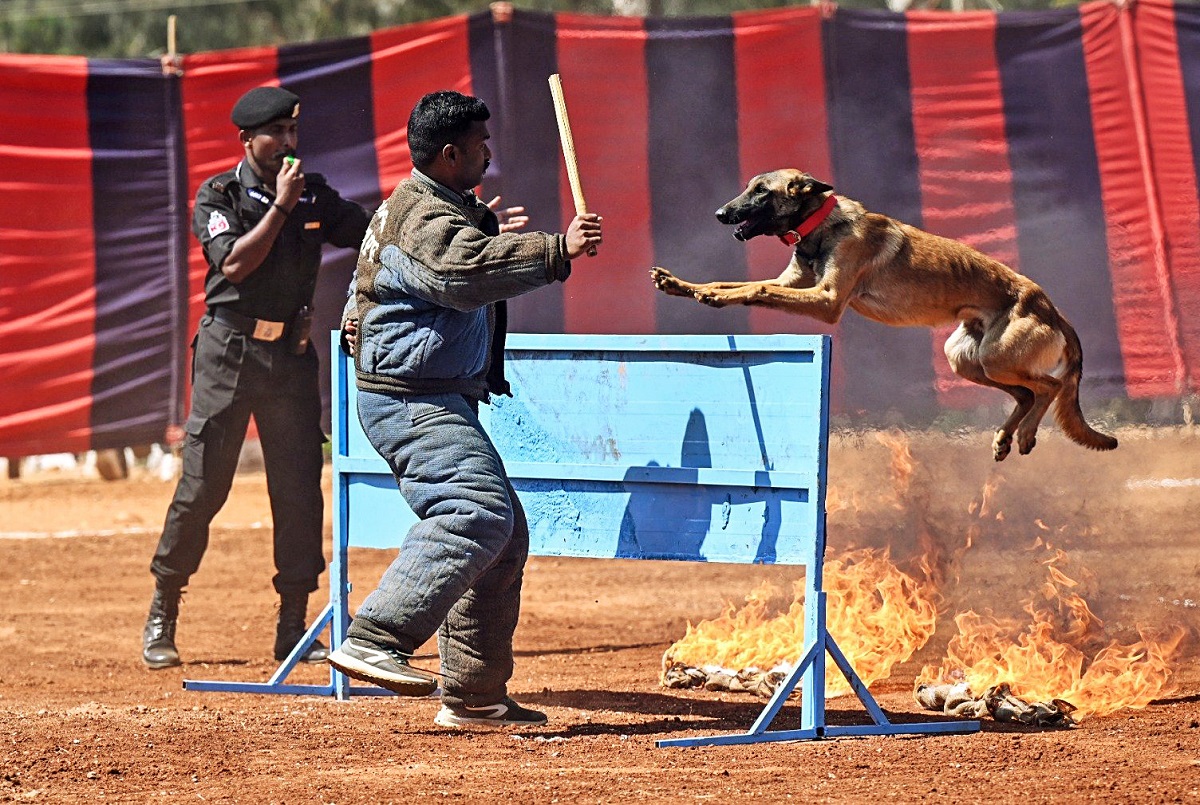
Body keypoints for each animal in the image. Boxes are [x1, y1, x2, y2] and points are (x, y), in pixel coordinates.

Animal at [652, 170, 1118, 460]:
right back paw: (1005, 437)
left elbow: (756, 288)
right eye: (749, 187)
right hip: (967, 359)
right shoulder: (795, 285)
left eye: (762, 191)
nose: (720, 214)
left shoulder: (825, 300)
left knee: (1049, 387)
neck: (821, 224)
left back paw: (1024, 435)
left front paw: (706, 294)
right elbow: (731, 284)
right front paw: (684, 286)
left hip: (997, 358)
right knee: (1025, 393)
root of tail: (1051, 307)